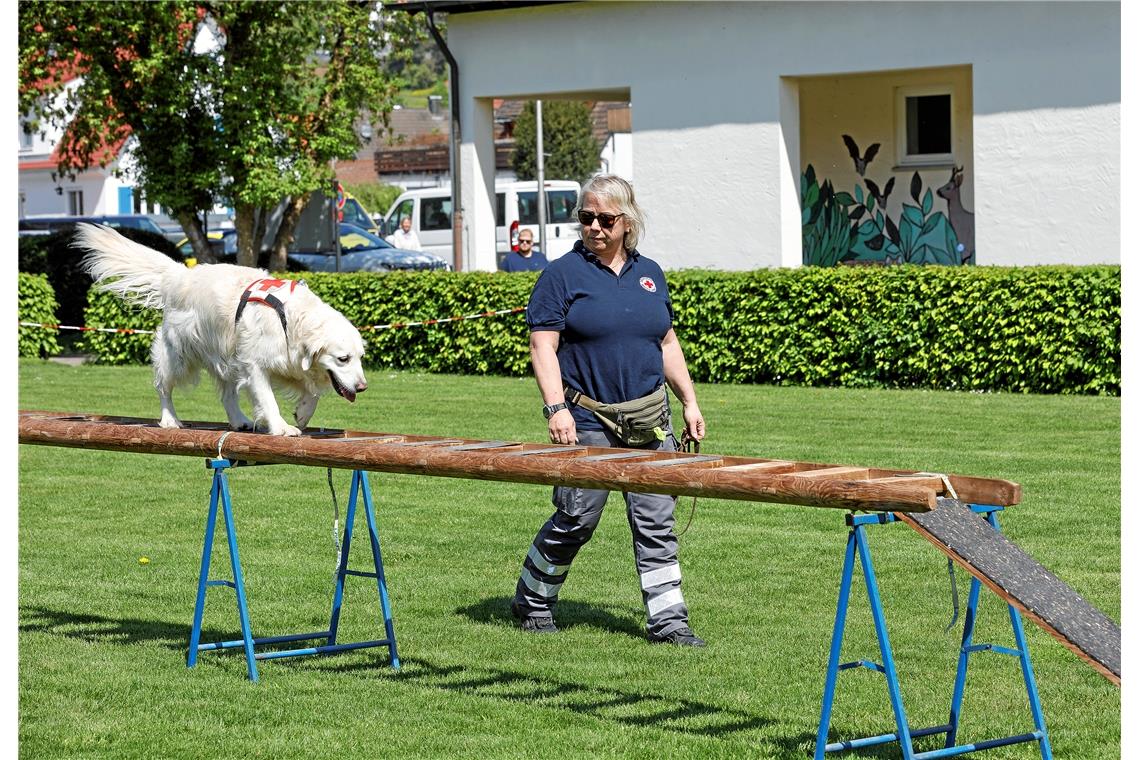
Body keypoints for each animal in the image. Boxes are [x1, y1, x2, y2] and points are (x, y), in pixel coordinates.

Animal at [75, 223, 367, 437]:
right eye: (343, 359)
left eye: (360, 358)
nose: (363, 387)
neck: (290, 319)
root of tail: (180, 274)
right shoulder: (255, 365)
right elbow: (268, 400)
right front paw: (282, 427)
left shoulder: (287, 362)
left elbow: (311, 389)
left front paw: (303, 412)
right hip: (179, 357)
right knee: (163, 387)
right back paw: (170, 419)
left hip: (226, 356)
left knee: (227, 395)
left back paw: (238, 420)